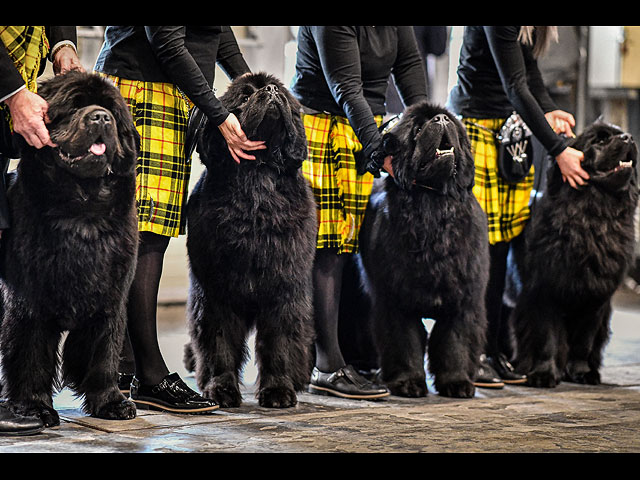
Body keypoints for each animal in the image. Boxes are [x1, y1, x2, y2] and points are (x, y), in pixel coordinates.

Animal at [0, 69, 140, 426]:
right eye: (75, 106)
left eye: (112, 111)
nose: (100, 117)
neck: (83, 213)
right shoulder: (29, 302)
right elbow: (32, 356)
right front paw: (34, 408)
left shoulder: (111, 297)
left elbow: (104, 353)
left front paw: (111, 402)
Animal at [184, 71, 316, 408]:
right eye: (244, 97)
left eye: (280, 91)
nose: (270, 91)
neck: (257, 175)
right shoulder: (216, 291)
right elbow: (219, 342)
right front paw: (221, 388)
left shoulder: (284, 288)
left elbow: (279, 342)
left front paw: (278, 390)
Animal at [356, 103, 490, 400]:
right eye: (417, 129)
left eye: (449, 121)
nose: (440, 119)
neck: (432, 203)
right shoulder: (396, 300)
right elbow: (404, 341)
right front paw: (408, 382)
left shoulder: (464, 301)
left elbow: (456, 342)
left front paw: (457, 382)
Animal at [512, 120, 636, 386]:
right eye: (599, 140)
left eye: (620, 134)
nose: (630, 137)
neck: (593, 218)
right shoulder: (544, 289)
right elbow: (547, 337)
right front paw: (544, 374)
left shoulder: (596, 295)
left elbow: (583, 341)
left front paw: (582, 372)